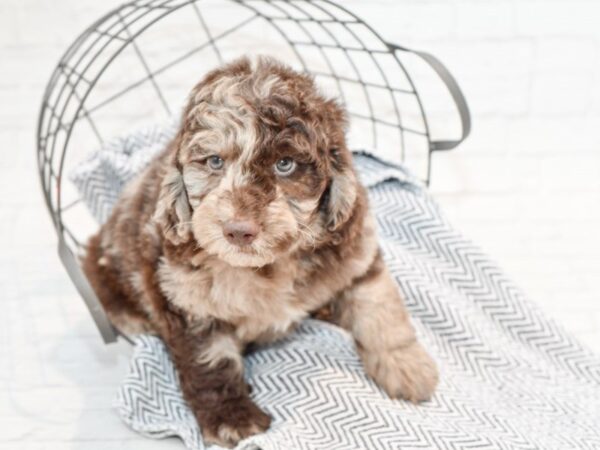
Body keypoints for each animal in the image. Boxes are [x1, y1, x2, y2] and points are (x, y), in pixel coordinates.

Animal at [84, 58, 438, 448]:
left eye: (285, 164)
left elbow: (380, 308)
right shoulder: (187, 300)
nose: (238, 229)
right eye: (214, 162)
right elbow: (210, 361)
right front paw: (233, 420)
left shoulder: (355, 254)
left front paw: (406, 366)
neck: (271, 264)